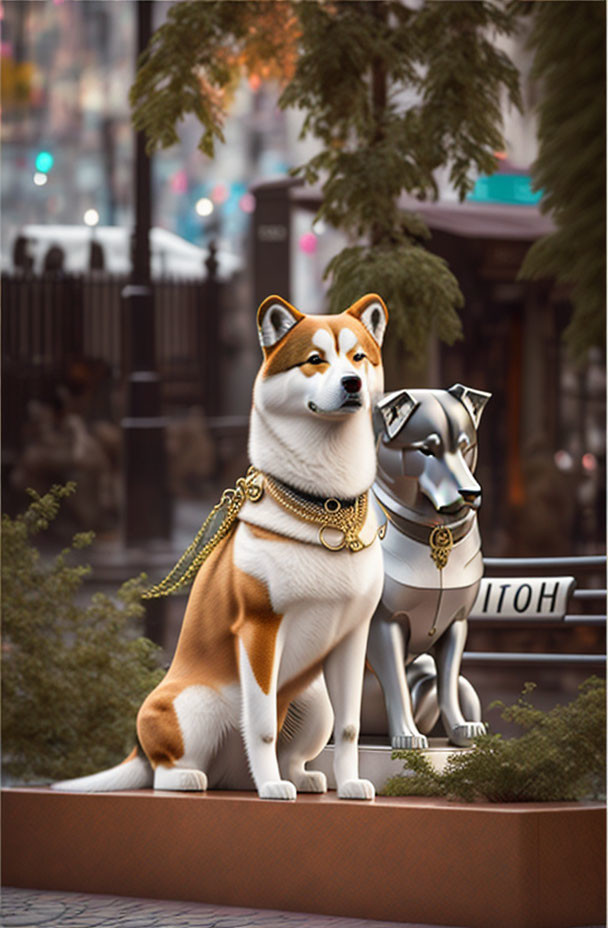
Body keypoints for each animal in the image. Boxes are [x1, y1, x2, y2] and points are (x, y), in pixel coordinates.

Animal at [51, 296, 384, 796]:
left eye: (359, 356)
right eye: (314, 359)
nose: (352, 383)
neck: (325, 508)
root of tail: (233, 774)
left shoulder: (351, 636)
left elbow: (350, 728)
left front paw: (351, 785)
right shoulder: (259, 629)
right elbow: (261, 727)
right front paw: (272, 791)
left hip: (312, 701)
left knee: (290, 753)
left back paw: (298, 776)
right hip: (196, 704)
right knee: (170, 771)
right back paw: (207, 778)